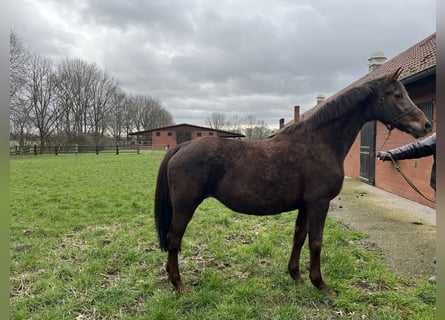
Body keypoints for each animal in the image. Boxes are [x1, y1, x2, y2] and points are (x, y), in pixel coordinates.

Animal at [153, 69, 430, 296]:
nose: (425, 125)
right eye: (397, 94)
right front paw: (321, 284)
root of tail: (181, 146)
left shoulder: (305, 205)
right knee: (174, 240)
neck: (320, 143)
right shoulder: (319, 203)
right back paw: (179, 284)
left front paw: (296, 276)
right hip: (185, 207)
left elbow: (299, 237)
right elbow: (316, 242)